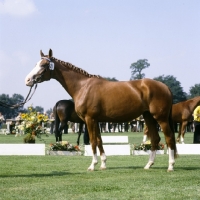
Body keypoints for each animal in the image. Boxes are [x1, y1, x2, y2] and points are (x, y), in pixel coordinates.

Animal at [25, 48, 177, 172]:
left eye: (43, 65)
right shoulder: (95, 120)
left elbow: (92, 141)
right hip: (148, 117)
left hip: (161, 118)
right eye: (36, 64)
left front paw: (92, 165)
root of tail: (165, 86)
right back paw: (148, 164)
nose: (27, 80)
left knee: (169, 138)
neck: (83, 86)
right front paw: (103, 164)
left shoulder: (89, 119)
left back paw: (170, 165)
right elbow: (99, 141)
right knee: (155, 139)